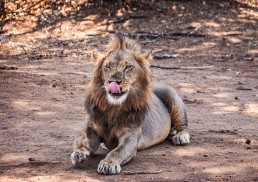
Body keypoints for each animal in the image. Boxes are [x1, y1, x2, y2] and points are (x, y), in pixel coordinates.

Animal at [70, 33, 189, 174]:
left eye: (128, 67)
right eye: (107, 67)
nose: (114, 82)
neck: (113, 108)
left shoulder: (130, 138)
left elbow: (116, 152)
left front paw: (108, 164)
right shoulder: (91, 129)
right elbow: (81, 139)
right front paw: (78, 153)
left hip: (169, 93)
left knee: (183, 125)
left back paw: (181, 137)